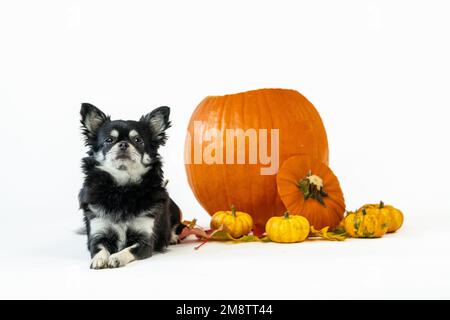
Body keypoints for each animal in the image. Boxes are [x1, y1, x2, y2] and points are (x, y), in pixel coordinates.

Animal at [78, 104, 183, 268]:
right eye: (109, 140)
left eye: (137, 140)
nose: (123, 144)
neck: (123, 189)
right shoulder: (97, 234)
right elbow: (99, 249)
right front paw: (99, 259)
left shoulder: (145, 240)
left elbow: (128, 249)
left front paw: (116, 257)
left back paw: (172, 237)